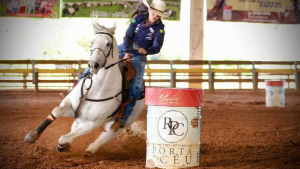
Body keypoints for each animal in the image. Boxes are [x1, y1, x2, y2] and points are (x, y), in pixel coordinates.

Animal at [24, 20, 144, 154]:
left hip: (124, 121)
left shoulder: (91, 123)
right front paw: (33, 135)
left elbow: (63, 137)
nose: (93, 64)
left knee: (108, 134)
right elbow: (56, 111)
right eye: (92, 41)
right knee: (77, 128)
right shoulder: (72, 108)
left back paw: (91, 149)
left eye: (108, 43)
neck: (96, 89)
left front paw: (62, 145)